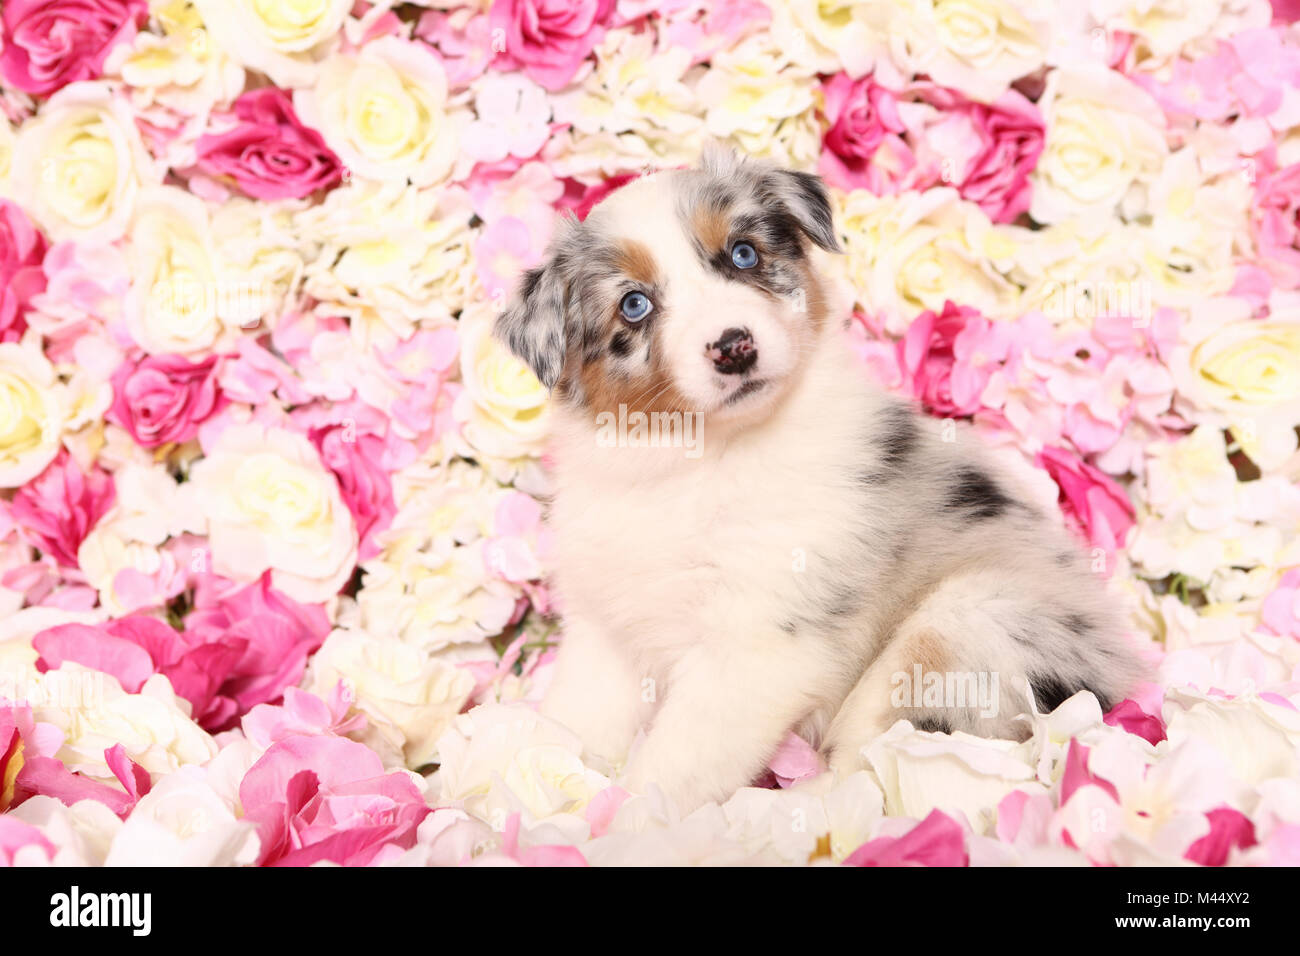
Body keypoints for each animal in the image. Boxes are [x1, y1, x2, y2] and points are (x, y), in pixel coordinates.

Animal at [491, 145, 1144, 811]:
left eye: (744, 253)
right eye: (634, 304)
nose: (734, 346)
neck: (695, 458)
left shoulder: (761, 643)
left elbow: (671, 768)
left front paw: (630, 823)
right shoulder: (606, 625)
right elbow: (577, 719)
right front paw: (532, 794)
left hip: (965, 627)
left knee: (878, 770)